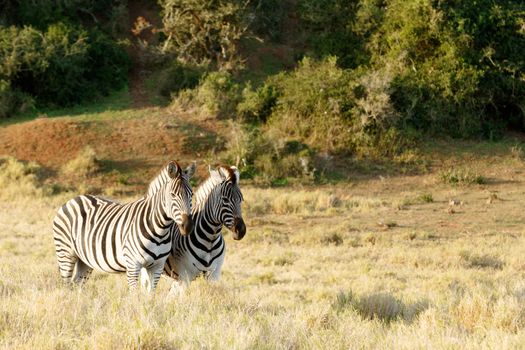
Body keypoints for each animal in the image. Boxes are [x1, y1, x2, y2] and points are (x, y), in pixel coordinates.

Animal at [52, 161, 195, 290]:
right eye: (172, 195)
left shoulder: (157, 266)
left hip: (84, 259)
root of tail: (74, 199)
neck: (160, 229)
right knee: (67, 286)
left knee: (77, 284)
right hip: (65, 253)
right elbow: (135, 295)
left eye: (191, 195)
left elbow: (150, 295)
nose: (187, 226)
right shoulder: (133, 265)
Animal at [161, 165, 247, 294]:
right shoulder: (185, 276)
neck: (210, 239)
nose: (241, 231)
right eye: (225, 200)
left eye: (241, 199)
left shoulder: (214, 275)